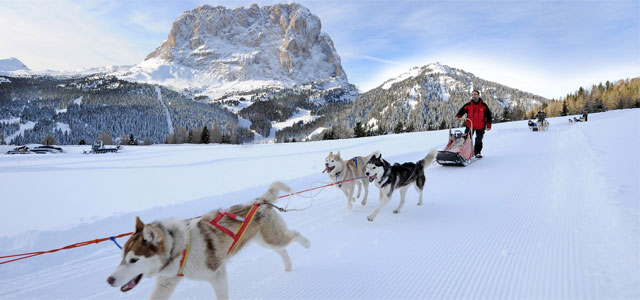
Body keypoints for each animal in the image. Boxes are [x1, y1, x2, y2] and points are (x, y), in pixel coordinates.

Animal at [107, 180, 310, 300]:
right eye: (122, 258)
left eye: (134, 259)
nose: (109, 280)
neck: (180, 249)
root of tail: (259, 201)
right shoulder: (166, 282)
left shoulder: (218, 275)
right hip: (265, 241)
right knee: (282, 250)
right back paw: (288, 266)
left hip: (272, 238)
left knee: (294, 235)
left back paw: (307, 243)